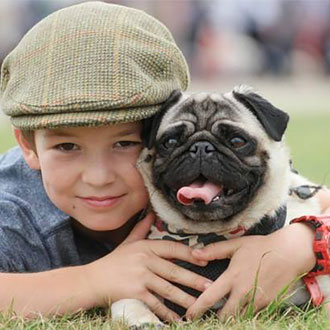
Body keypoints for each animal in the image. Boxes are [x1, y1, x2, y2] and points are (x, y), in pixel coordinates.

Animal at [111, 85, 328, 328]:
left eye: (237, 141)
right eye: (170, 142)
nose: (201, 147)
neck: (207, 236)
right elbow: (128, 301)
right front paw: (144, 321)